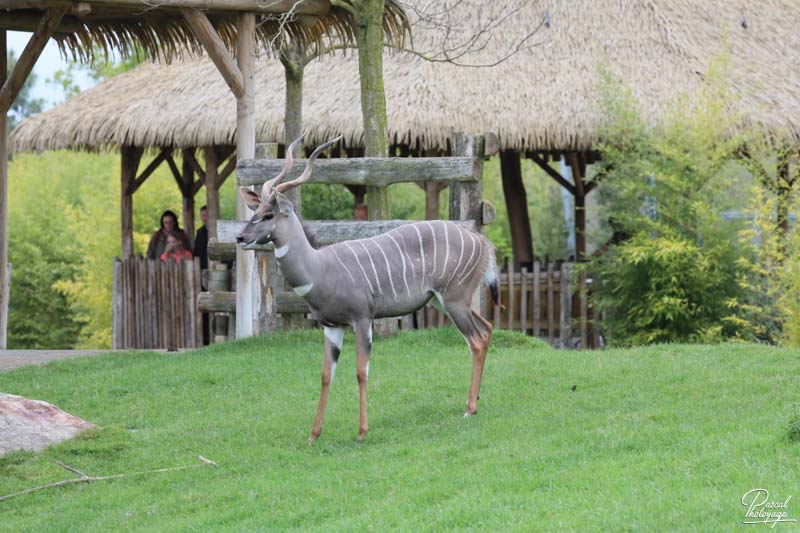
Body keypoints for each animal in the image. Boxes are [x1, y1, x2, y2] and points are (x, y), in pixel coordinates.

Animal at [238, 137, 500, 440]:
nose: (240, 237)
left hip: (455, 300)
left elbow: (361, 371)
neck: (320, 268)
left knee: (476, 340)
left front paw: (362, 431)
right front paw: (314, 435)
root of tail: (483, 242)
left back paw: (469, 408)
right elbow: (326, 375)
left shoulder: (362, 319)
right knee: (487, 328)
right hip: (446, 301)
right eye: (254, 211)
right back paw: (474, 402)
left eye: (268, 214)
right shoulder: (332, 326)